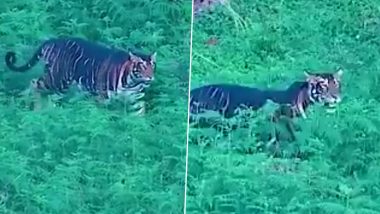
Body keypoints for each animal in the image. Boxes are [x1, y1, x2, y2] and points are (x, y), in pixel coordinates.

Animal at [4, 36, 156, 115]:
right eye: (142, 66)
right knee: (34, 83)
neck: (132, 83)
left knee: (49, 96)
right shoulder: (102, 97)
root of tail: (52, 39)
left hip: (60, 86)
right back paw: (36, 110)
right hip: (57, 79)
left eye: (153, 66)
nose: (150, 77)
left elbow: (138, 116)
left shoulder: (136, 100)